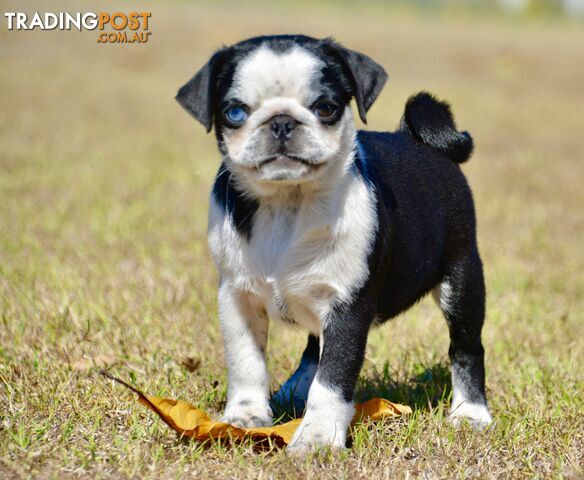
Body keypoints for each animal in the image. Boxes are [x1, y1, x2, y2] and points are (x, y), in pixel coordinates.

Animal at [176, 33, 490, 454]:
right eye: (235, 112)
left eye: (326, 108)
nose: (281, 121)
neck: (287, 205)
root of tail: (417, 138)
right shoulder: (237, 296)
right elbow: (246, 362)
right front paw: (245, 417)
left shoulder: (348, 308)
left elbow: (333, 379)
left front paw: (318, 437)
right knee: (313, 345)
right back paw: (295, 387)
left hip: (462, 278)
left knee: (466, 347)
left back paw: (471, 413)